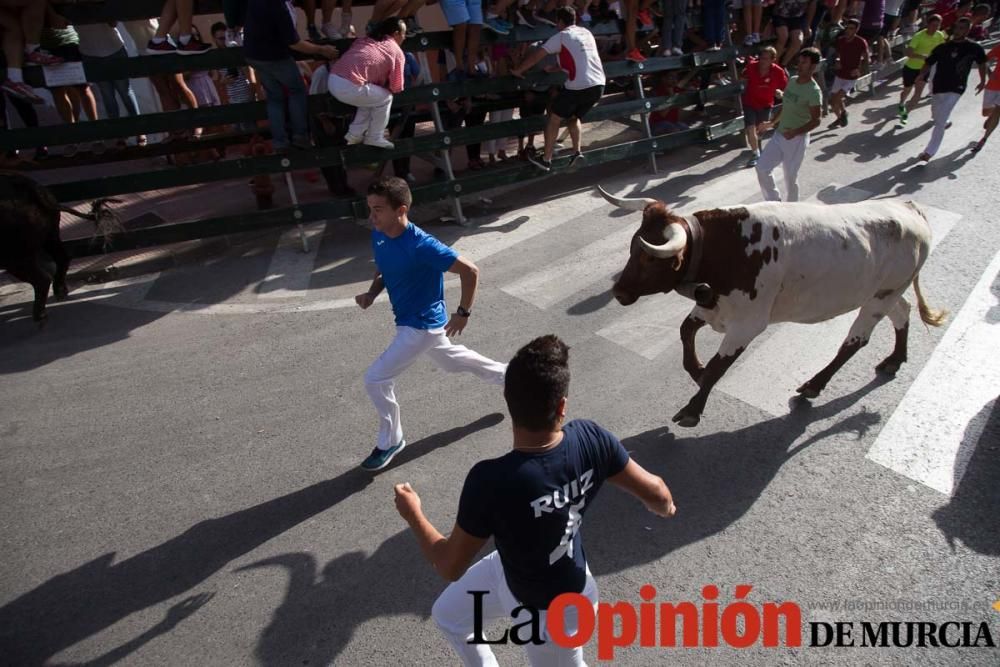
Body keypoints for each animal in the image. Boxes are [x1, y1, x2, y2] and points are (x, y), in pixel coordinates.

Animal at [596, 187, 948, 428]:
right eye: (632, 247)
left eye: (647, 258)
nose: (619, 291)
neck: (727, 247)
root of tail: (908, 207)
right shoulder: (712, 308)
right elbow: (686, 332)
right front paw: (696, 370)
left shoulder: (746, 324)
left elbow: (718, 367)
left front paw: (692, 410)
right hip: (883, 292)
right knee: (902, 313)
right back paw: (895, 359)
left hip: (878, 299)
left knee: (855, 340)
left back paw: (814, 385)